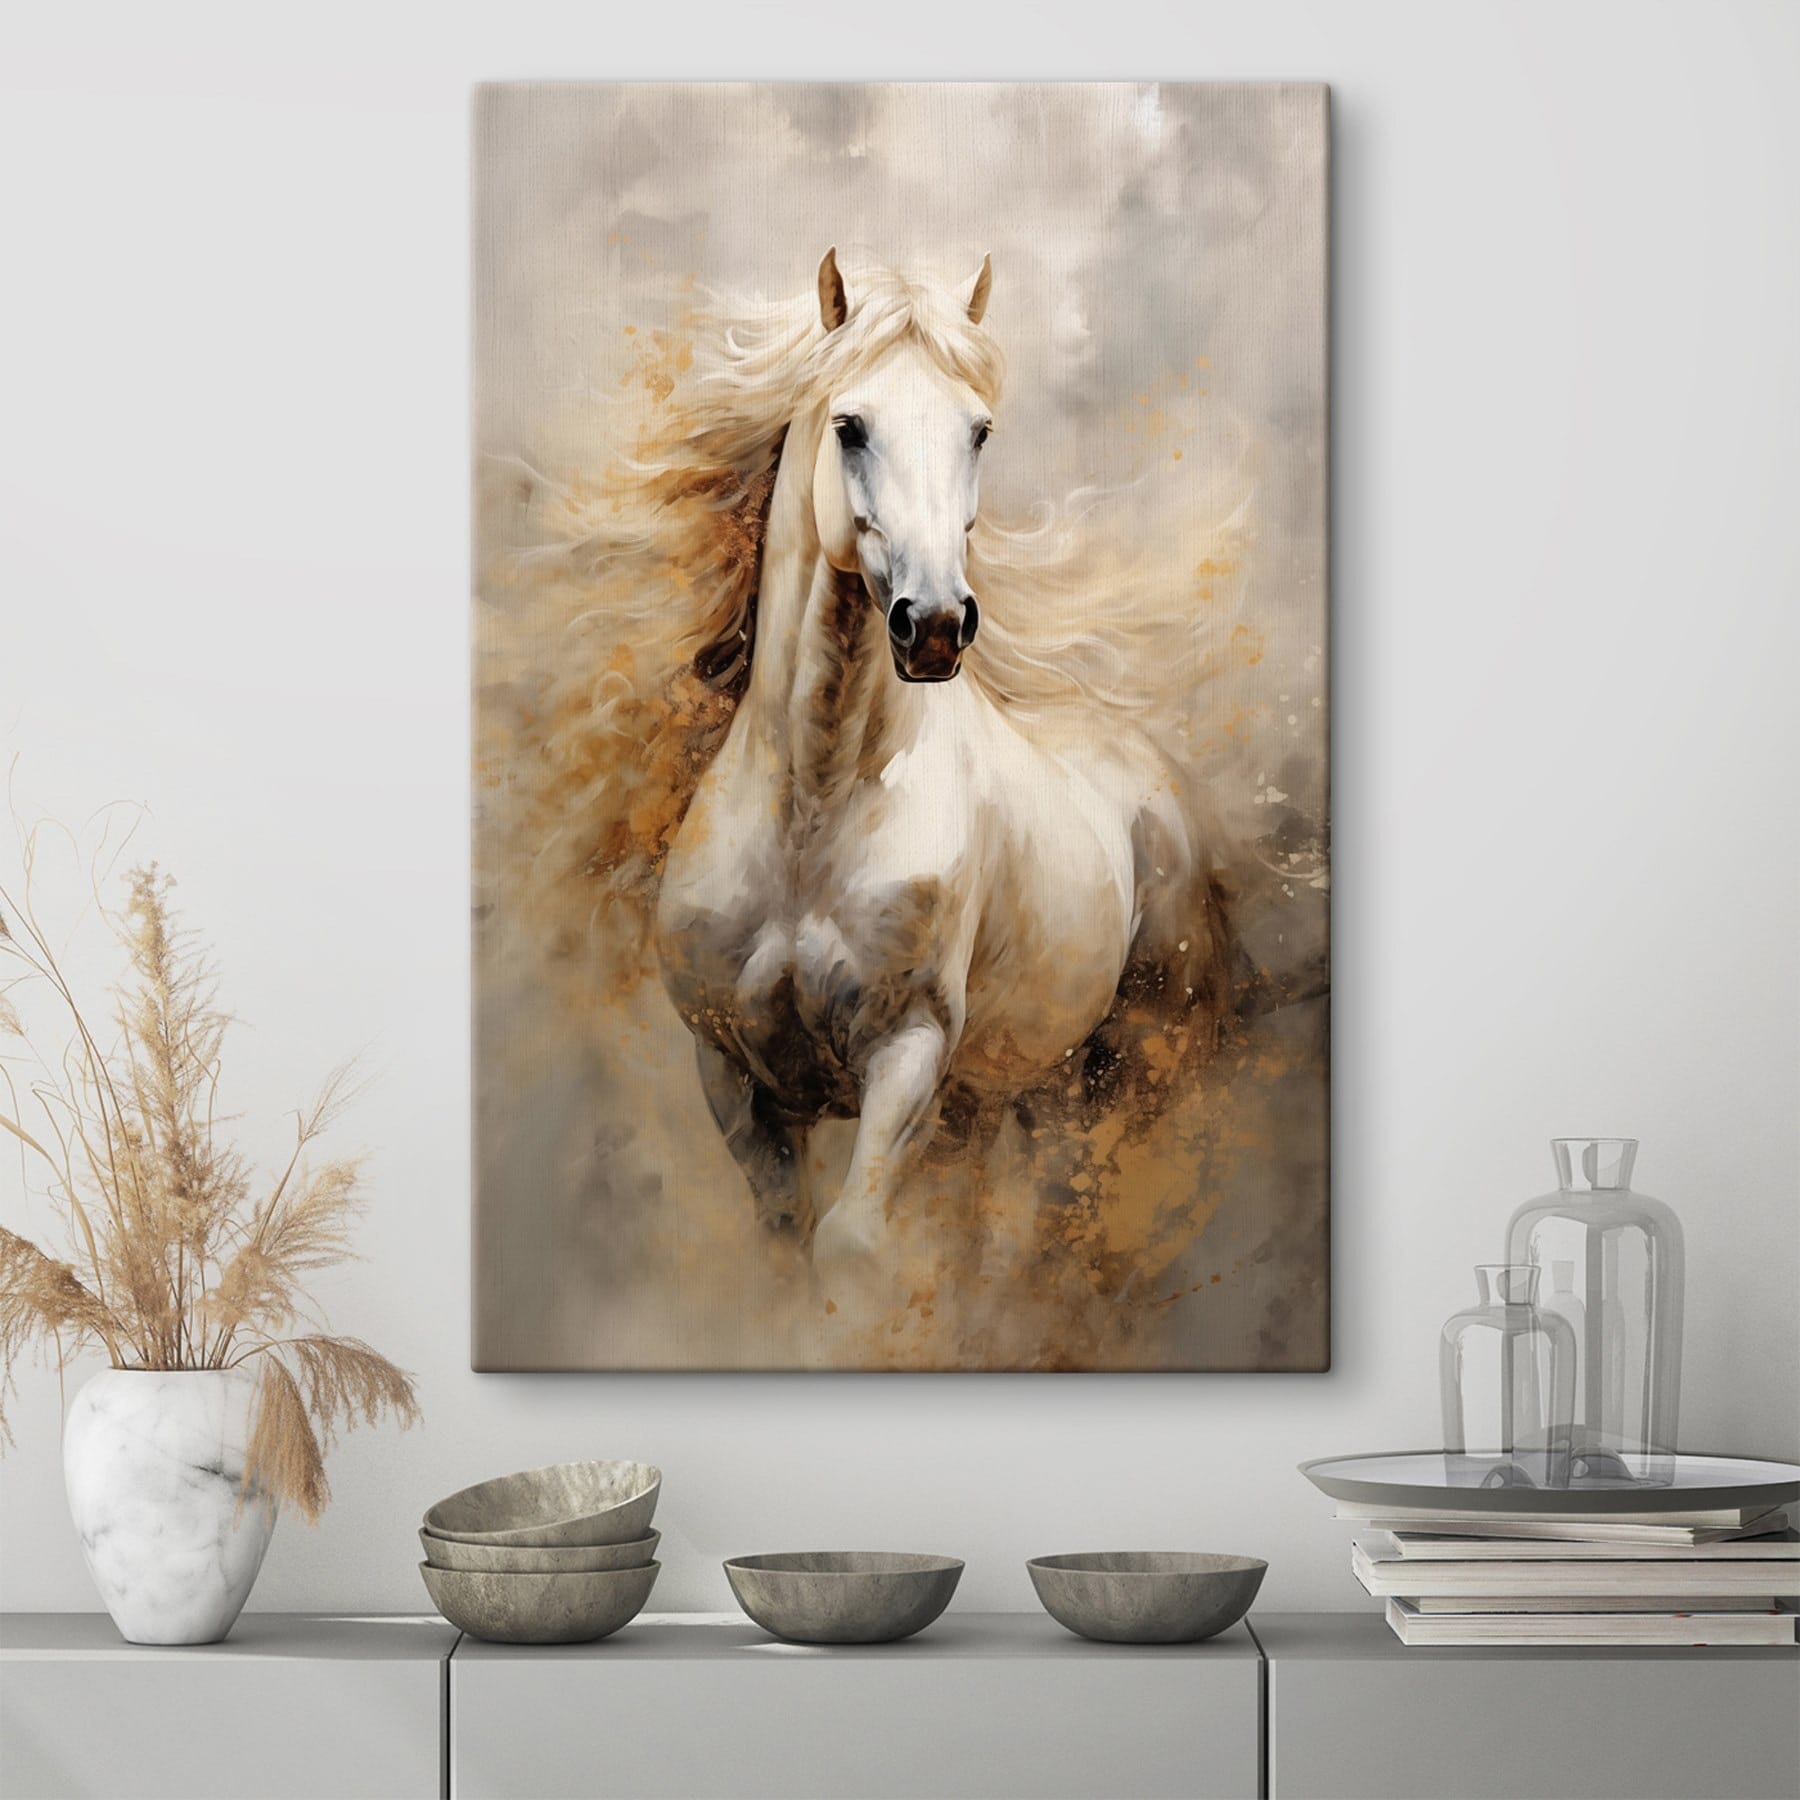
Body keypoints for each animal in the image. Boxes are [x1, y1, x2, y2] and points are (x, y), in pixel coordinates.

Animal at [651, 250, 1236, 1298]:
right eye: (850, 425)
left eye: (979, 430)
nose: (932, 626)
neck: (814, 810)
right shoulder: (736, 1080)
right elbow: (784, 1252)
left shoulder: (909, 1056)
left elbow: (850, 1245)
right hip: (1008, 1096)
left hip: (1126, 1071)